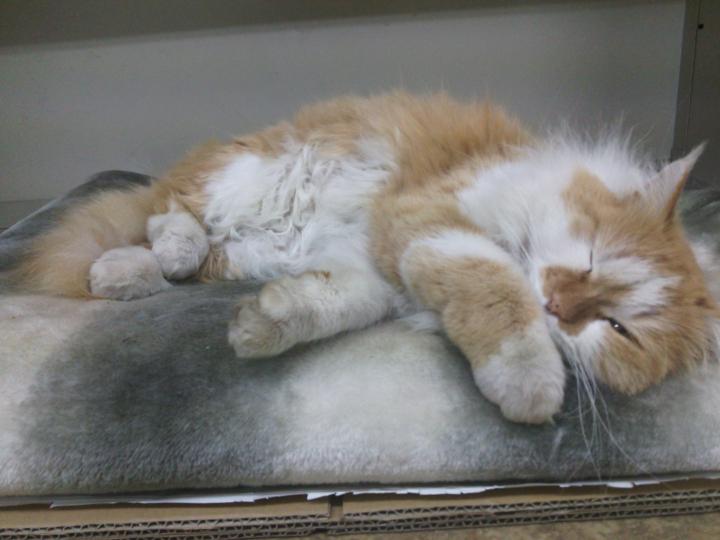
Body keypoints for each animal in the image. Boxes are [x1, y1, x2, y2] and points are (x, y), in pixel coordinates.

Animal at [13, 91, 718, 424]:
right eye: (594, 256)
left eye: (619, 329)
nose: (559, 304)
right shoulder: (426, 220)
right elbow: (496, 291)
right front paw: (529, 381)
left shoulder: (379, 268)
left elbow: (324, 304)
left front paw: (261, 326)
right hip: (245, 177)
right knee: (170, 213)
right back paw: (155, 256)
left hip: (257, 246)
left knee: (180, 250)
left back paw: (128, 275)